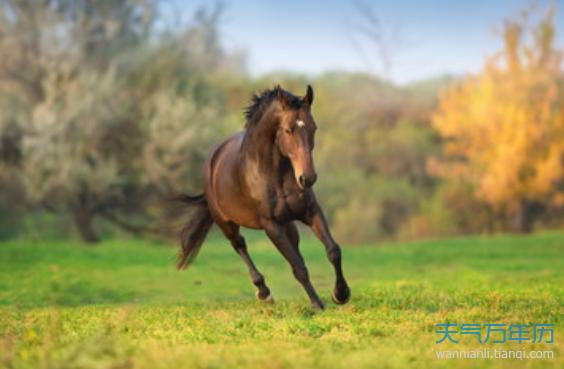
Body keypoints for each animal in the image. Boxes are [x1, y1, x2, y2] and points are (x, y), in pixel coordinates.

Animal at [174, 85, 350, 310]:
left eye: (314, 127)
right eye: (288, 130)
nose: (307, 178)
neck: (273, 174)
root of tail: (213, 159)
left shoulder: (310, 212)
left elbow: (333, 250)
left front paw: (341, 294)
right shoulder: (271, 225)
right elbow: (298, 267)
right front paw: (317, 304)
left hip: (288, 224)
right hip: (226, 223)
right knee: (239, 245)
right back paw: (264, 292)